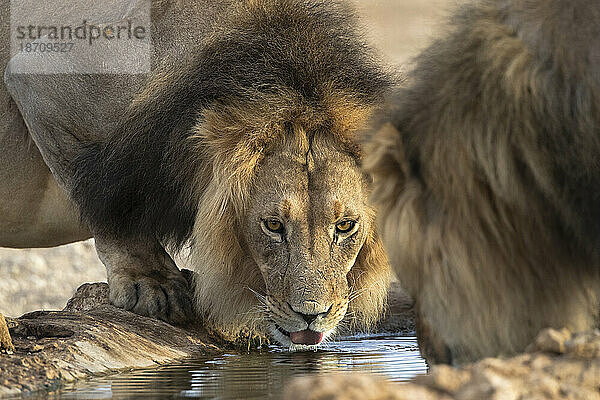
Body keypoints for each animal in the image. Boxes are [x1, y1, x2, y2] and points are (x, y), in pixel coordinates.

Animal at [0, 0, 392, 348]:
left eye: (345, 226)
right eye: (273, 225)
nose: (312, 315)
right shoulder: (41, 76)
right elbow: (107, 210)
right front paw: (152, 282)